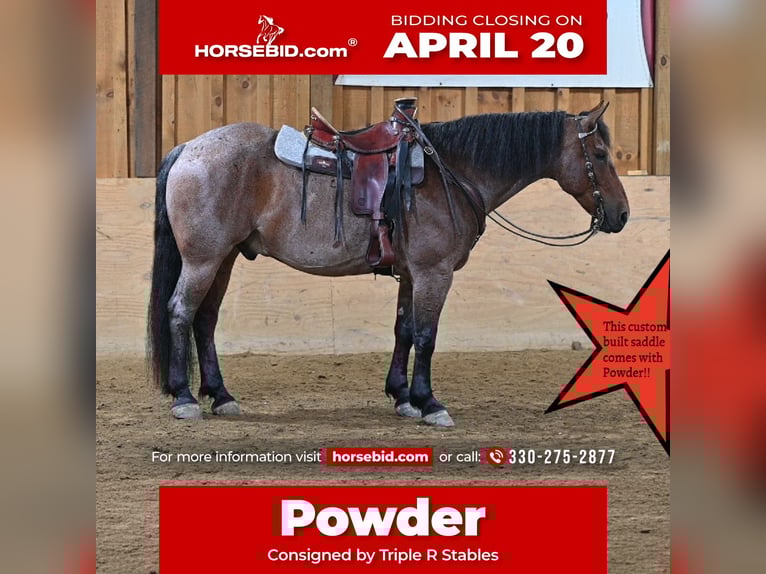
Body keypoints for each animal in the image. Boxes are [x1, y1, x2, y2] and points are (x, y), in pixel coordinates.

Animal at [147, 101, 629, 427]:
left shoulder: (412, 274)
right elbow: (427, 336)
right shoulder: (435, 273)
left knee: (205, 320)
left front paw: (402, 397)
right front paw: (429, 402)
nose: (622, 215)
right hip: (203, 259)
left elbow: (404, 330)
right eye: (600, 154)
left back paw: (220, 395)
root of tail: (188, 148)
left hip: (224, 258)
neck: (451, 172)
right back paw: (184, 397)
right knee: (181, 312)